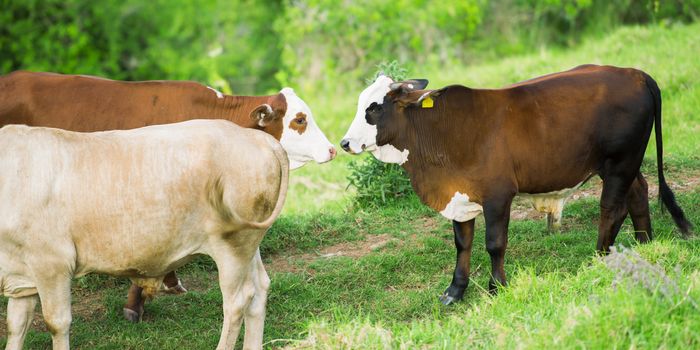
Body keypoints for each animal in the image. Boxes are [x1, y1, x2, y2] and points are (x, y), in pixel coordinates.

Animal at [0, 119, 288, 348]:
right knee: (260, 289)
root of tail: (257, 137)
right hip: (249, 245)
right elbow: (16, 325)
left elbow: (56, 323)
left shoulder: (52, 263)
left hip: (233, 245)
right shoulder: (21, 274)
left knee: (239, 300)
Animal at [352, 64, 692, 304]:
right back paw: (645, 244)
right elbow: (463, 243)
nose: (345, 143)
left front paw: (496, 287)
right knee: (639, 192)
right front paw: (455, 291)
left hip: (620, 161)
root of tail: (636, 74)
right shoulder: (459, 196)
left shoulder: (498, 195)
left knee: (612, 208)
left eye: (375, 108)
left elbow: (494, 243)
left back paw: (600, 258)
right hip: (623, 164)